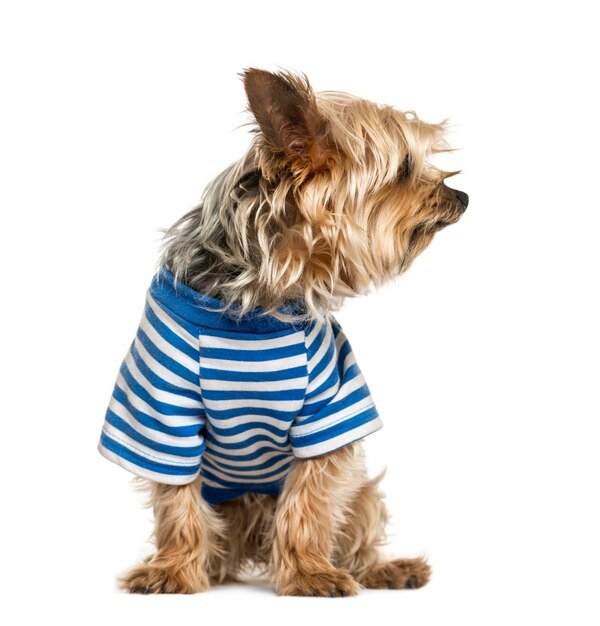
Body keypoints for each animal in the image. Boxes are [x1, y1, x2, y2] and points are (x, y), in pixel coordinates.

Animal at [97, 69, 468, 596]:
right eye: (404, 168)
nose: (463, 196)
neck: (255, 306)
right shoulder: (160, 413)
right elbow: (177, 501)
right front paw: (170, 570)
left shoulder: (330, 409)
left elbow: (309, 501)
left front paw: (310, 572)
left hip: (361, 495)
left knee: (358, 525)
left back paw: (385, 569)